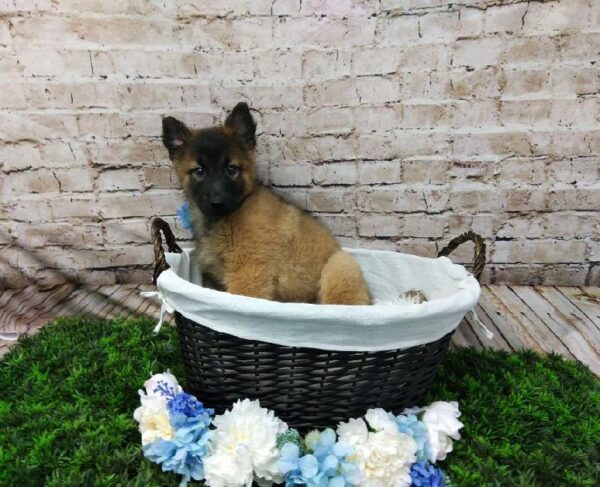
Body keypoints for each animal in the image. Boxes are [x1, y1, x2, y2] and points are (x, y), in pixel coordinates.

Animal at [162, 103, 372, 304]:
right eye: (199, 171)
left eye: (231, 169)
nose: (217, 202)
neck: (226, 217)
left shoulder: (248, 273)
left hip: (339, 267)